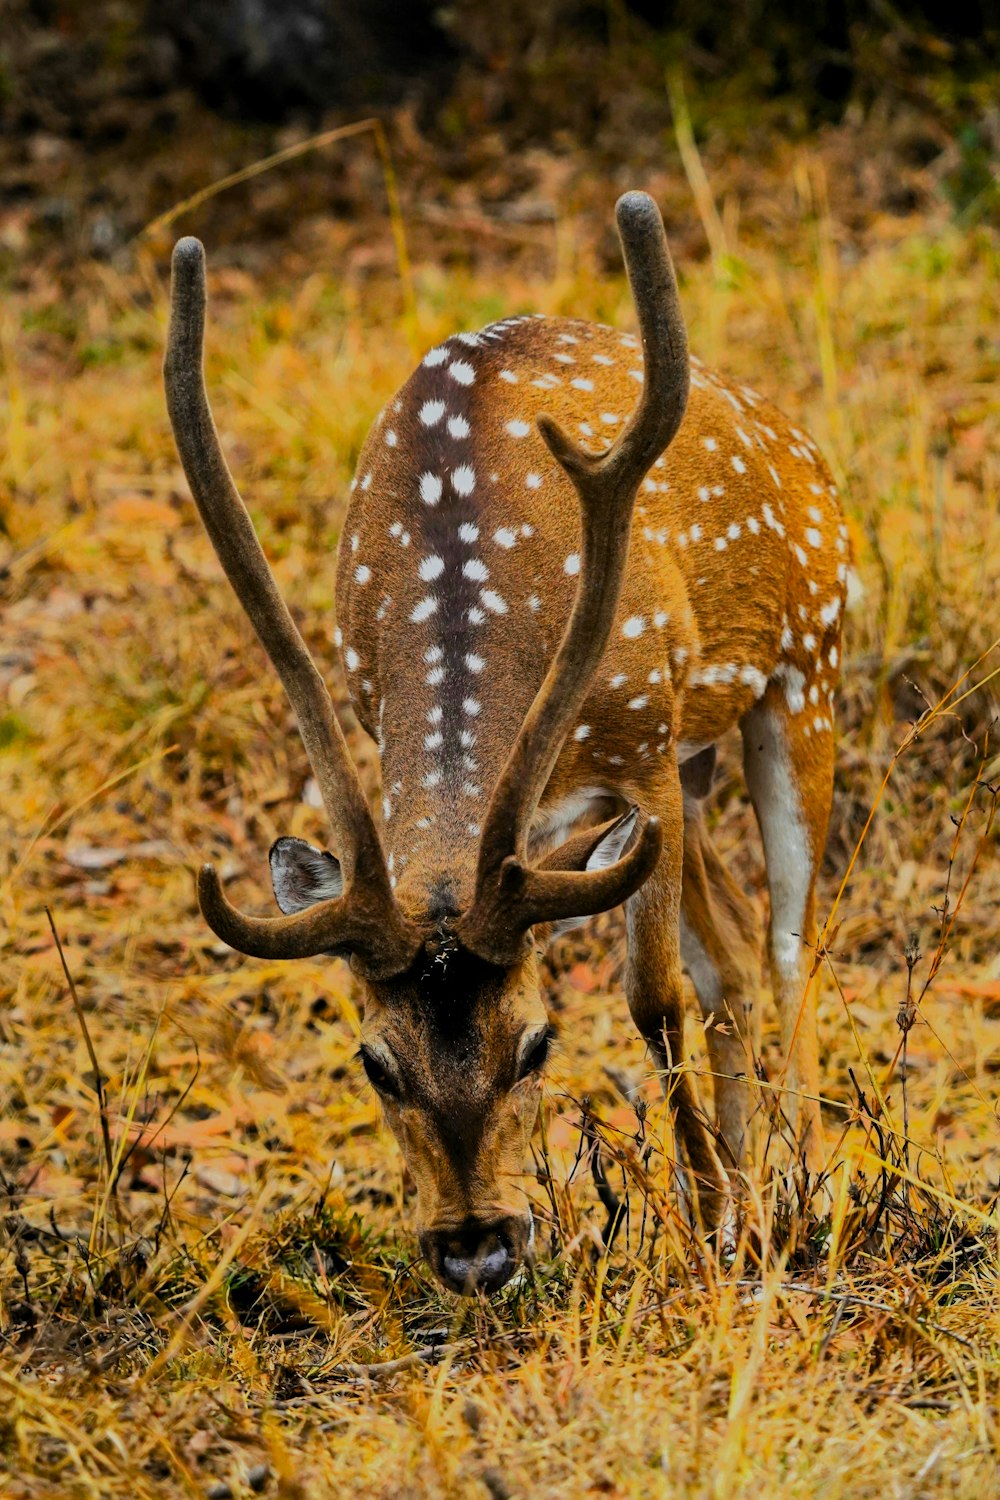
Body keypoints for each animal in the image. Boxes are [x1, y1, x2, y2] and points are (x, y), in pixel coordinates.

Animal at [162, 190, 845, 1290]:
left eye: (538, 1045)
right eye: (374, 1062)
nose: (477, 1249)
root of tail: (797, 442)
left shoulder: (642, 750)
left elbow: (653, 997)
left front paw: (706, 1230)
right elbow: (692, 978)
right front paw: (721, 1219)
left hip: (805, 664)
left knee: (792, 939)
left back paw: (804, 1198)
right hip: (695, 762)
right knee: (738, 947)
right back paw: (756, 1198)